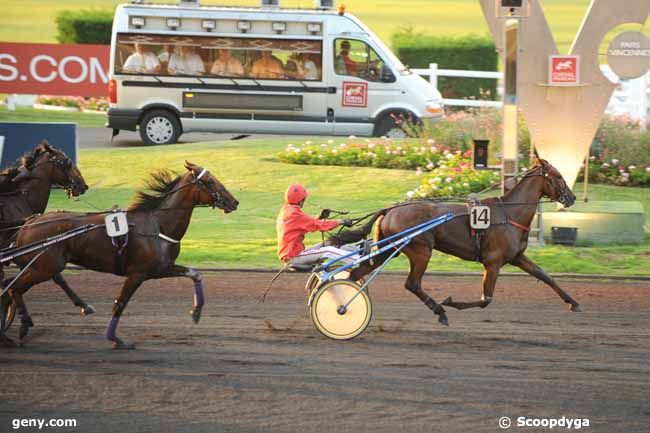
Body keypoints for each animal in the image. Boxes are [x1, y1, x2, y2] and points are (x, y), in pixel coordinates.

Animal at [3, 162, 237, 348]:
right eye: (210, 181)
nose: (234, 202)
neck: (158, 225)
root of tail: (30, 221)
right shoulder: (138, 274)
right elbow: (120, 303)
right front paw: (116, 339)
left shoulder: (161, 269)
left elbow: (195, 273)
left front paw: (196, 312)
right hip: (43, 267)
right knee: (13, 288)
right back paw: (23, 325)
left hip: (40, 266)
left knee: (10, 286)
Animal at [334, 159, 576, 328]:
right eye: (558, 176)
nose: (571, 197)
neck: (510, 214)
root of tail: (391, 209)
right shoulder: (493, 262)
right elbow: (486, 298)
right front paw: (451, 302)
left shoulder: (516, 257)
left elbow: (544, 275)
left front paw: (572, 302)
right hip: (420, 250)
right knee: (412, 284)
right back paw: (440, 311)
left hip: (390, 250)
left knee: (356, 273)